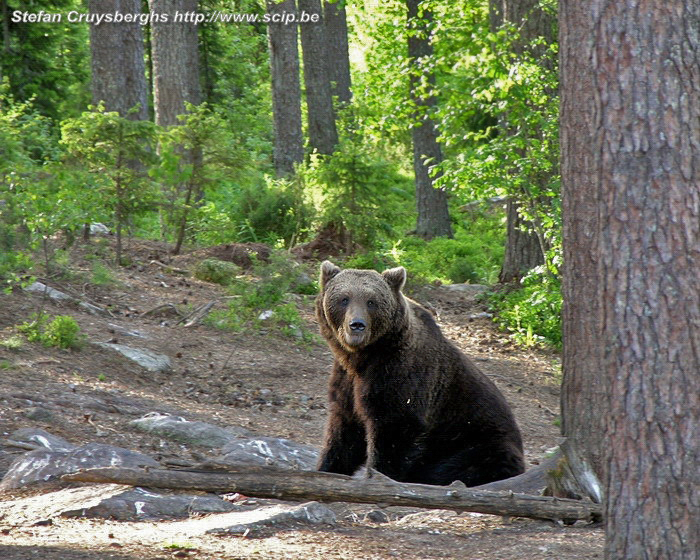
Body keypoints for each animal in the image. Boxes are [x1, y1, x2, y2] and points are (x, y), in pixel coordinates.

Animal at [318, 262, 524, 486]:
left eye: (371, 301)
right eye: (344, 299)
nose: (357, 325)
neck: (363, 358)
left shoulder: (400, 373)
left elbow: (394, 429)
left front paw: (379, 474)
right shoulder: (347, 379)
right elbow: (344, 429)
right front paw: (328, 468)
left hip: (477, 441)